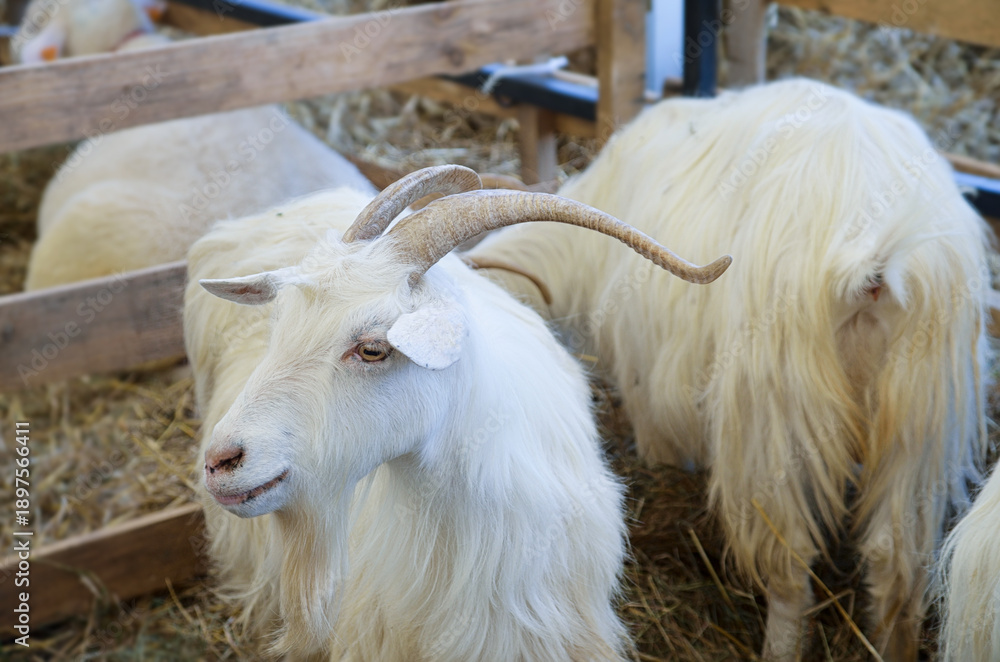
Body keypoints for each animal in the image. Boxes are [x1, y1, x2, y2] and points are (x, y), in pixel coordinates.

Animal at [467, 78, 990, 660]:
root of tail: (876, 263)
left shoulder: (648, 382)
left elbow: (661, 450)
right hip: (921, 420)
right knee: (894, 558)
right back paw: (886, 645)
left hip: (770, 420)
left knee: (790, 564)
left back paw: (779, 647)